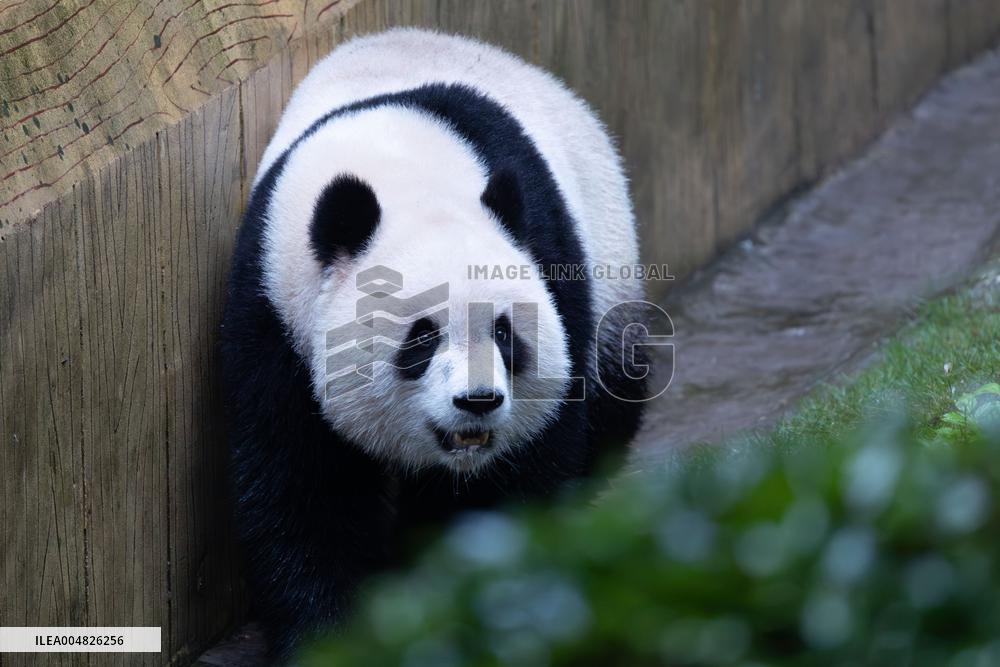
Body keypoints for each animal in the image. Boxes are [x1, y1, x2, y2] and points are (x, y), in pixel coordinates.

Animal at [220, 28, 649, 660]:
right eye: (420, 338)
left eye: (504, 333)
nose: (478, 402)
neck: (404, 174)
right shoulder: (272, 306)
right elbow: (301, 482)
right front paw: (327, 639)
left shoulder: (550, 259)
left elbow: (524, 469)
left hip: (612, 269)